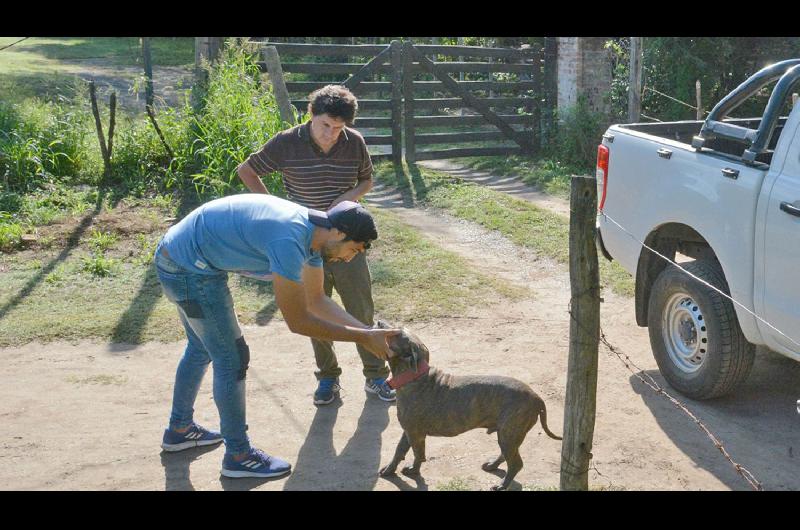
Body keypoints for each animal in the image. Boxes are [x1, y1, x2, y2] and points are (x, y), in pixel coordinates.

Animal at [376, 320, 560, 488]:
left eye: (396, 333)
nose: (378, 322)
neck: (413, 376)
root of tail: (536, 397)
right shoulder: (409, 431)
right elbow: (399, 451)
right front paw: (390, 470)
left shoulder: (415, 434)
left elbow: (418, 454)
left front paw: (414, 471)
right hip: (509, 436)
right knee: (507, 456)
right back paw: (493, 465)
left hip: (509, 434)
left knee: (516, 463)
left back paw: (502, 485)